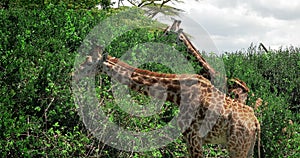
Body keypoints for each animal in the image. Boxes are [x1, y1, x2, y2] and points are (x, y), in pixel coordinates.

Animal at [72, 45, 260, 157]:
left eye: (89, 62)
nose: (73, 74)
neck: (177, 92)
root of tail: (256, 124)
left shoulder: (193, 137)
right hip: (247, 148)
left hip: (236, 147)